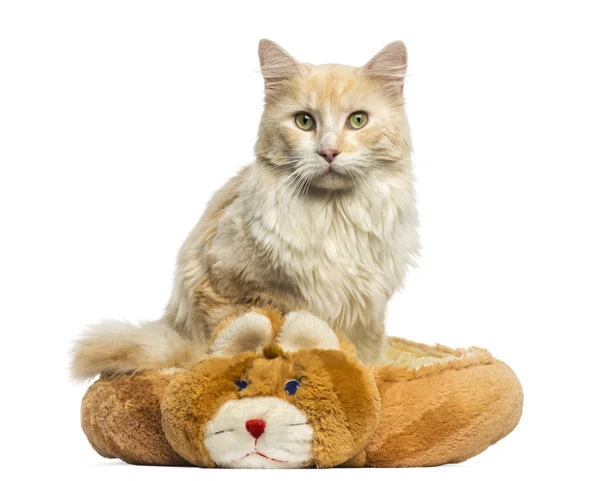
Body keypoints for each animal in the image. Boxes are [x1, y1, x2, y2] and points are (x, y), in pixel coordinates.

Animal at [71, 38, 418, 376]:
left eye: (357, 120)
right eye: (304, 121)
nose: (329, 152)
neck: (331, 216)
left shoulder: (368, 310)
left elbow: (366, 359)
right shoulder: (224, 288)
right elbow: (246, 339)